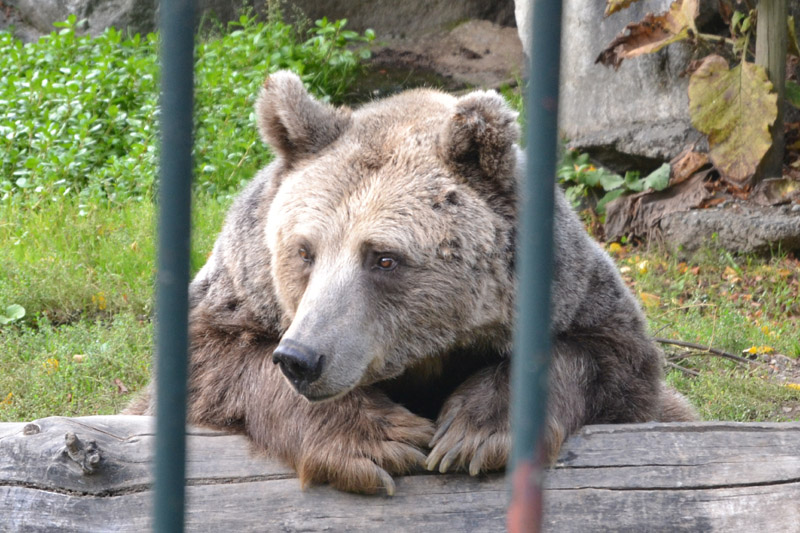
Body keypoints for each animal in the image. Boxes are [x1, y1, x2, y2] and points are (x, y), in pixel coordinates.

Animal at [128, 69, 696, 494]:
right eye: (304, 251)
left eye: (383, 258)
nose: (301, 358)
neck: (428, 351)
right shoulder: (244, 286)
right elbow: (212, 356)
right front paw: (380, 438)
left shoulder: (571, 292)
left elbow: (609, 360)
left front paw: (473, 433)